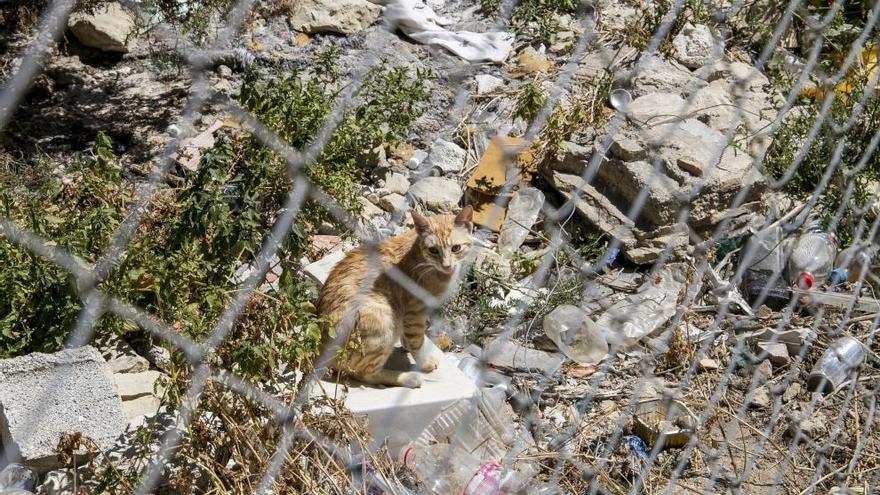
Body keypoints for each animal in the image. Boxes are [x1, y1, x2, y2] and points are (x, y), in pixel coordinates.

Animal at [318, 207, 474, 390]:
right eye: (433, 250)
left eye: (456, 248)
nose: (447, 265)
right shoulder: (415, 312)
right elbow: (417, 341)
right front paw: (424, 363)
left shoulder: (408, 317)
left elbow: (409, 336)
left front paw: (405, 343)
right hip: (384, 324)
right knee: (364, 373)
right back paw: (410, 378)